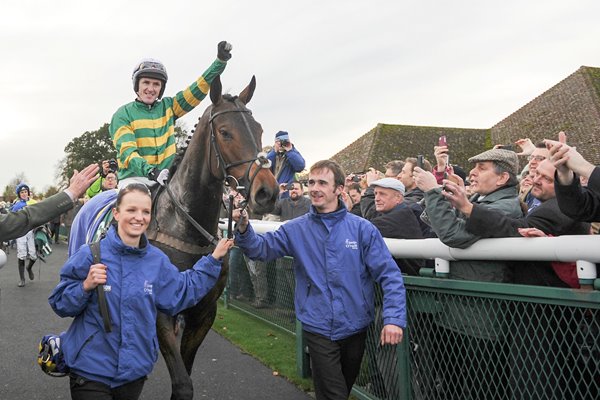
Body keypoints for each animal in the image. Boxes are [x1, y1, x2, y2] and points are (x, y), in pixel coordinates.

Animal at [150, 76, 282, 400]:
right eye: (224, 132)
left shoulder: (203, 314)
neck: (181, 225)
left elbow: (185, 375)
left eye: (259, 129)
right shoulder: (161, 312)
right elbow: (183, 384)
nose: (268, 192)